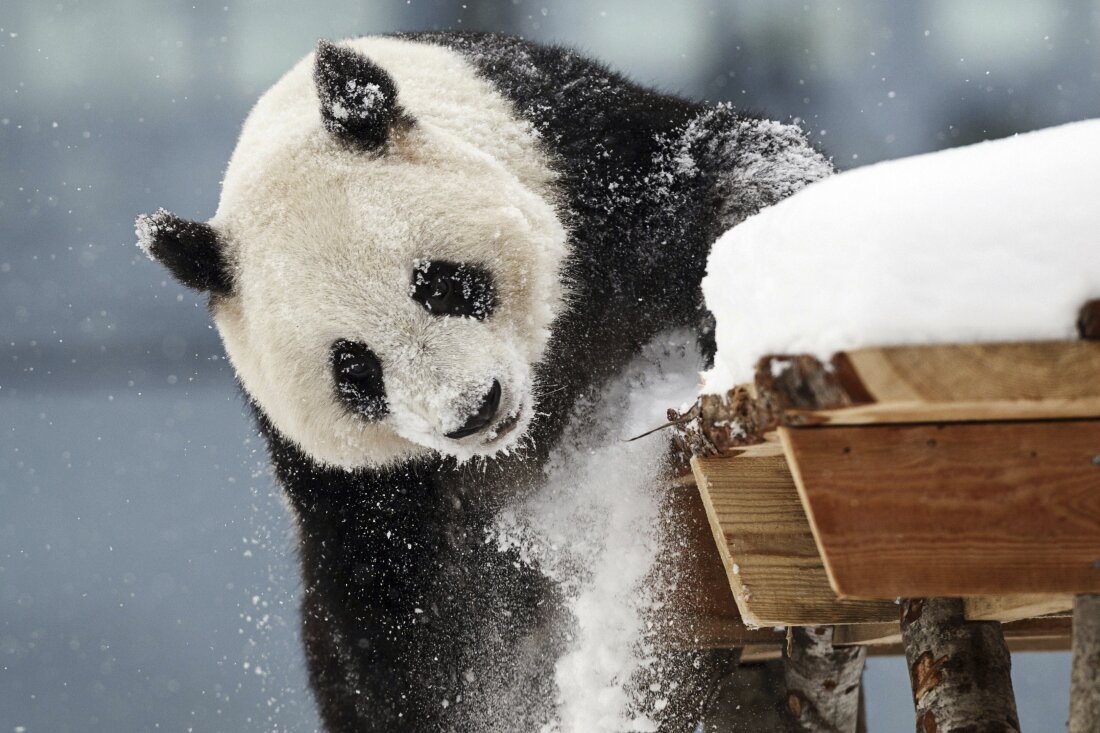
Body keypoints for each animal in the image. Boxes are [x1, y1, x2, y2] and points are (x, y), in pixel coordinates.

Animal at [135, 31, 827, 726]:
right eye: (354, 368)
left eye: (439, 284)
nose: (473, 411)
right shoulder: (348, 484)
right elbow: (397, 621)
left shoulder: (585, 165)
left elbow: (724, 166)